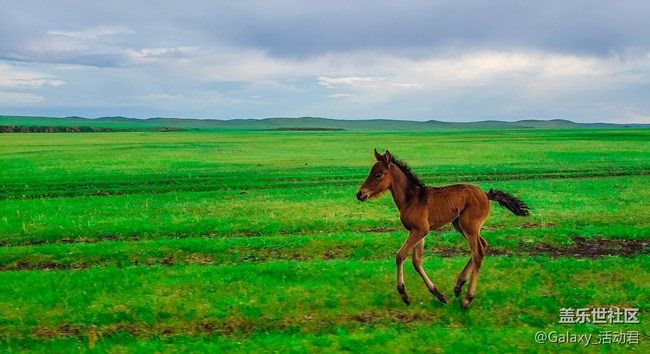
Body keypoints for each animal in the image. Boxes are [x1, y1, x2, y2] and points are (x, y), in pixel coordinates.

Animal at [356, 149, 528, 306]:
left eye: (378, 175)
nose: (360, 193)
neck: (411, 198)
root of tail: (485, 194)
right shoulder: (418, 232)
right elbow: (416, 261)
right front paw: (439, 294)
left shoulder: (421, 230)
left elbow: (400, 255)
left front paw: (404, 294)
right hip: (459, 225)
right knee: (482, 246)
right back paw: (458, 286)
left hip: (469, 226)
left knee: (478, 253)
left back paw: (467, 298)